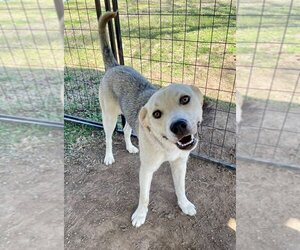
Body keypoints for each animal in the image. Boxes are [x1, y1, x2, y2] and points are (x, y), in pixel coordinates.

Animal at [98, 11, 204, 228]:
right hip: (109, 117)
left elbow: (180, 187)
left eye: (185, 99)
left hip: (129, 117)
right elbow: (144, 196)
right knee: (108, 137)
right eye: (156, 114)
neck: (166, 145)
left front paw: (184, 204)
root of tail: (114, 66)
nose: (179, 126)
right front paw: (140, 215)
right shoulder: (146, 170)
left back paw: (130, 147)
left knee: (127, 130)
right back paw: (109, 156)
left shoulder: (180, 163)